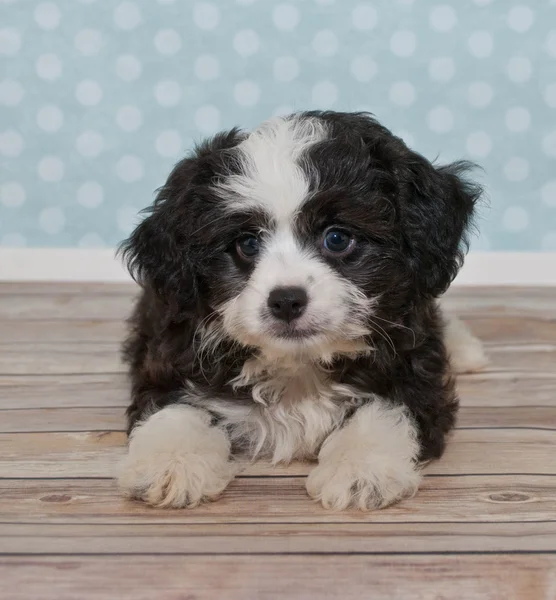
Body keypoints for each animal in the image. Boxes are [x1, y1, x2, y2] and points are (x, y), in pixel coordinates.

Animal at [118, 110, 486, 508]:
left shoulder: (417, 371)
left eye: (337, 238)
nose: (286, 300)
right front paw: (171, 461)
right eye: (247, 244)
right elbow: (176, 406)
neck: (298, 366)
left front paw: (361, 468)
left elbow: (389, 409)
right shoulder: (170, 354)